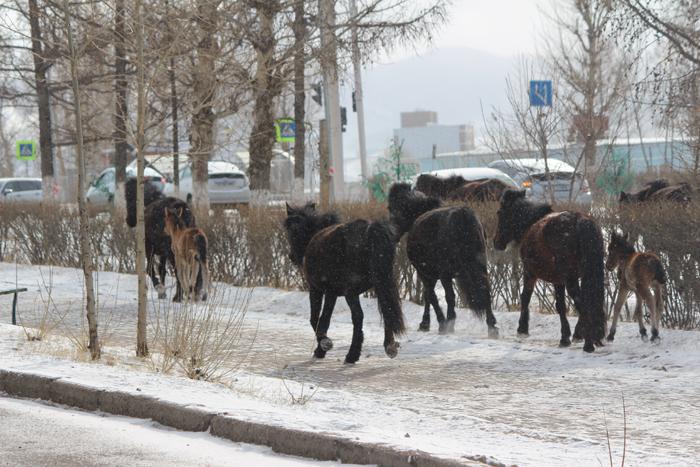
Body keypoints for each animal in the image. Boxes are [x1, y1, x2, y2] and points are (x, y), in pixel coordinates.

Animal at [284, 203, 404, 364]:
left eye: (290, 231)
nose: (291, 256)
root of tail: (370, 230)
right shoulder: (335, 293)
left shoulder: (319, 290)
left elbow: (318, 319)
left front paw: (323, 346)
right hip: (381, 283)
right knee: (386, 310)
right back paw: (388, 346)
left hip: (350, 291)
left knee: (357, 316)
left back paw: (351, 354)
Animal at [388, 181, 498, 338]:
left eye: (391, 208)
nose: (391, 234)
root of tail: (463, 216)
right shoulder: (432, 274)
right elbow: (428, 296)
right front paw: (426, 323)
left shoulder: (424, 273)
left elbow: (431, 296)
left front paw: (439, 322)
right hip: (480, 267)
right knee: (485, 290)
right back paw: (491, 326)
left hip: (445, 273)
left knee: (450, 296)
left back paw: (450, 322)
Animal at [492, 188, 608, 352]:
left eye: (500, 213)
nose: (496, 242)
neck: (530, 224)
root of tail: (579, 221)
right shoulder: (560, 280)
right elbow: (561, 305)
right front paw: (570, 336)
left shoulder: (530, 273)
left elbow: (527, 297)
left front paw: (523, 329)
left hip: (570, 279)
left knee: (582, 303)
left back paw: (588, 344)